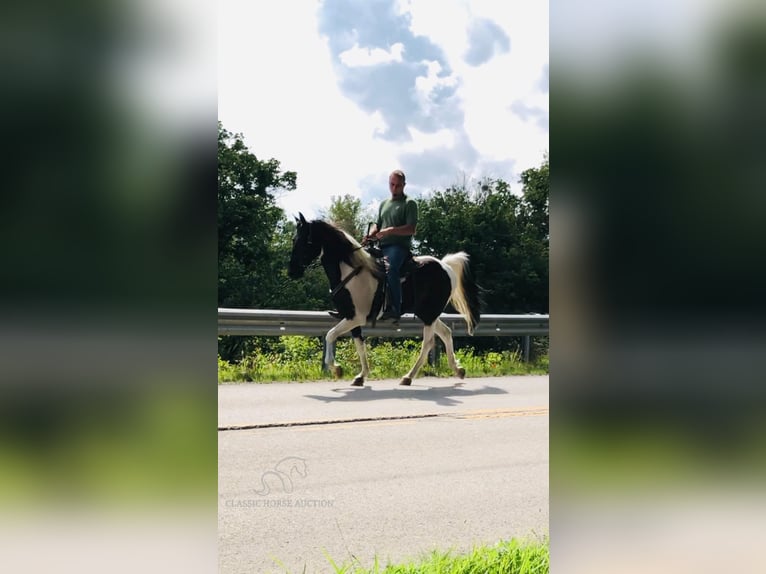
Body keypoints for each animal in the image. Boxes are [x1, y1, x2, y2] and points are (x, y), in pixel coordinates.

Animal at [288, 215, 480, 388]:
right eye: (294, 239)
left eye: (305, 241)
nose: (292, 272)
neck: (349, 272)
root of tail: (445, 265)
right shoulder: (351, 317)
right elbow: (359, 345)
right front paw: (360, 376)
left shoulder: (355, 317)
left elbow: (330, 335)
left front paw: (336, 369)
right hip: (427, 313)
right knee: (446, 332)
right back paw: (458, 370)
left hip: (429, 313)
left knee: (428, 343)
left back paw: (408, 377)